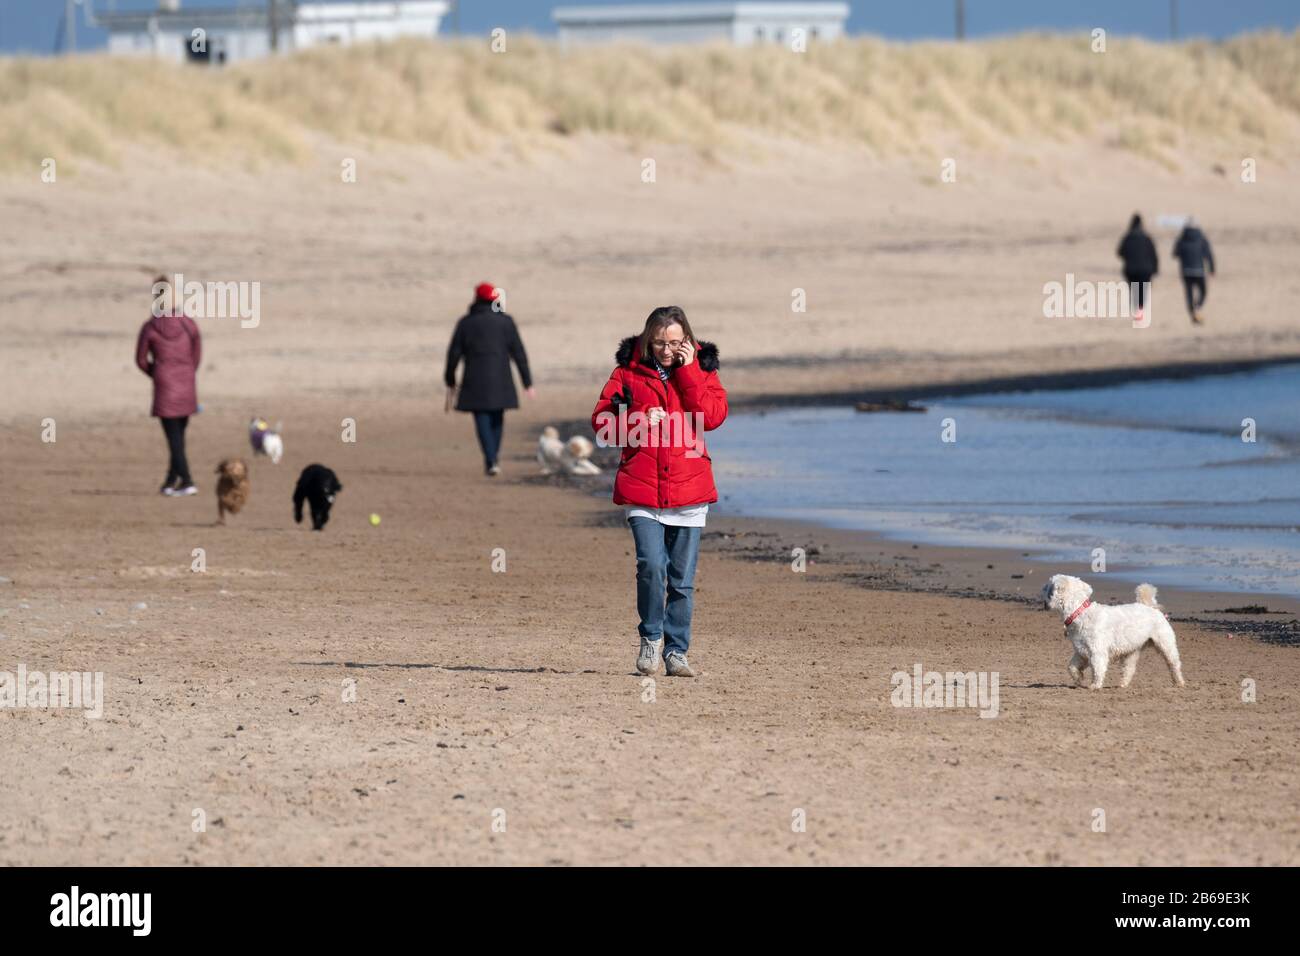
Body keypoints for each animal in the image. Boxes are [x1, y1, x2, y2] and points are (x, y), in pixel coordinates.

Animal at [1040, 574, 1185, 686]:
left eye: (1048, 588)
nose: (1044, 602)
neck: (1080, 613)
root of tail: (1151, 607)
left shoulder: (1097, 651)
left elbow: (1097, 669)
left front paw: (1095, 685)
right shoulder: (1081, 651)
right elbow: (1071, 667)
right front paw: (1078, 678)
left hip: (1165, 643)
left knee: (1174, 663)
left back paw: (1179, 682)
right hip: (1131, 650)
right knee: (1129, 668)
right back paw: (1123, 684)